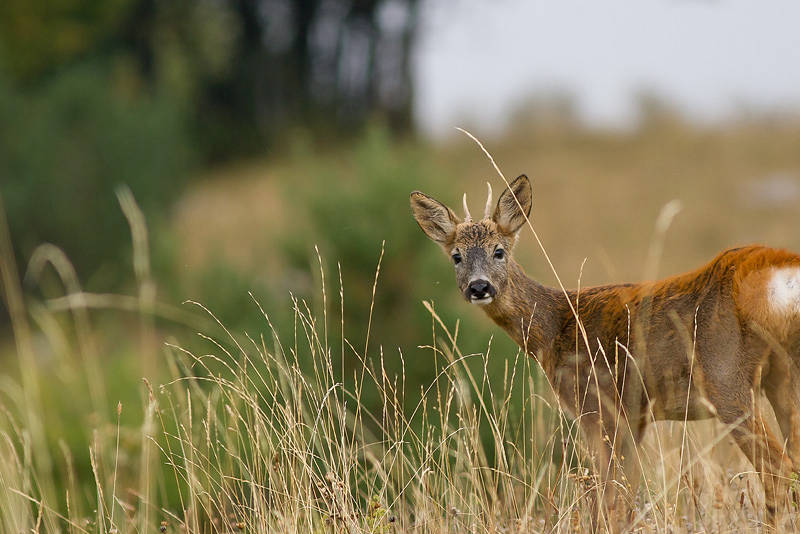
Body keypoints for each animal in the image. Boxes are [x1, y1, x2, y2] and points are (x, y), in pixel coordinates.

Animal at [410, 177, 800, 532]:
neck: (557, 327)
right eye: (457, 256)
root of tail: (778, 268)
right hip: (783, 375)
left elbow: (607, 498)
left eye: (499, 251)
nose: (479, 287)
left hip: (726, 377)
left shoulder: (599, 406)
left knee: (777, 470)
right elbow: (624, 497)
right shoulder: (635, 418)